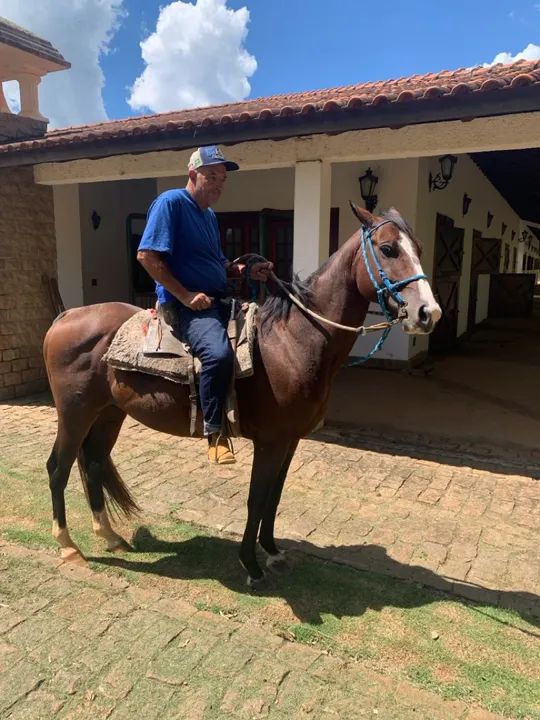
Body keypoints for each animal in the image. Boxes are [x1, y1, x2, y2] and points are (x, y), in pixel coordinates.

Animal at [43, 203, 441, 588]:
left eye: (420, 248)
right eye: (387, 249)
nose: (428, 313)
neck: (292, 341)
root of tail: (66, 317)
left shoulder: (290, 440)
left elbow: (274, 498)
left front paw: (273, 551)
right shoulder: (269, 441)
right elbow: (256, 499)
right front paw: (250, 563)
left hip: (108, 412)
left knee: (93, 463)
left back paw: (110, 536)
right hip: (75, 412)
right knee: (58, 467)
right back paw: (67, 546)